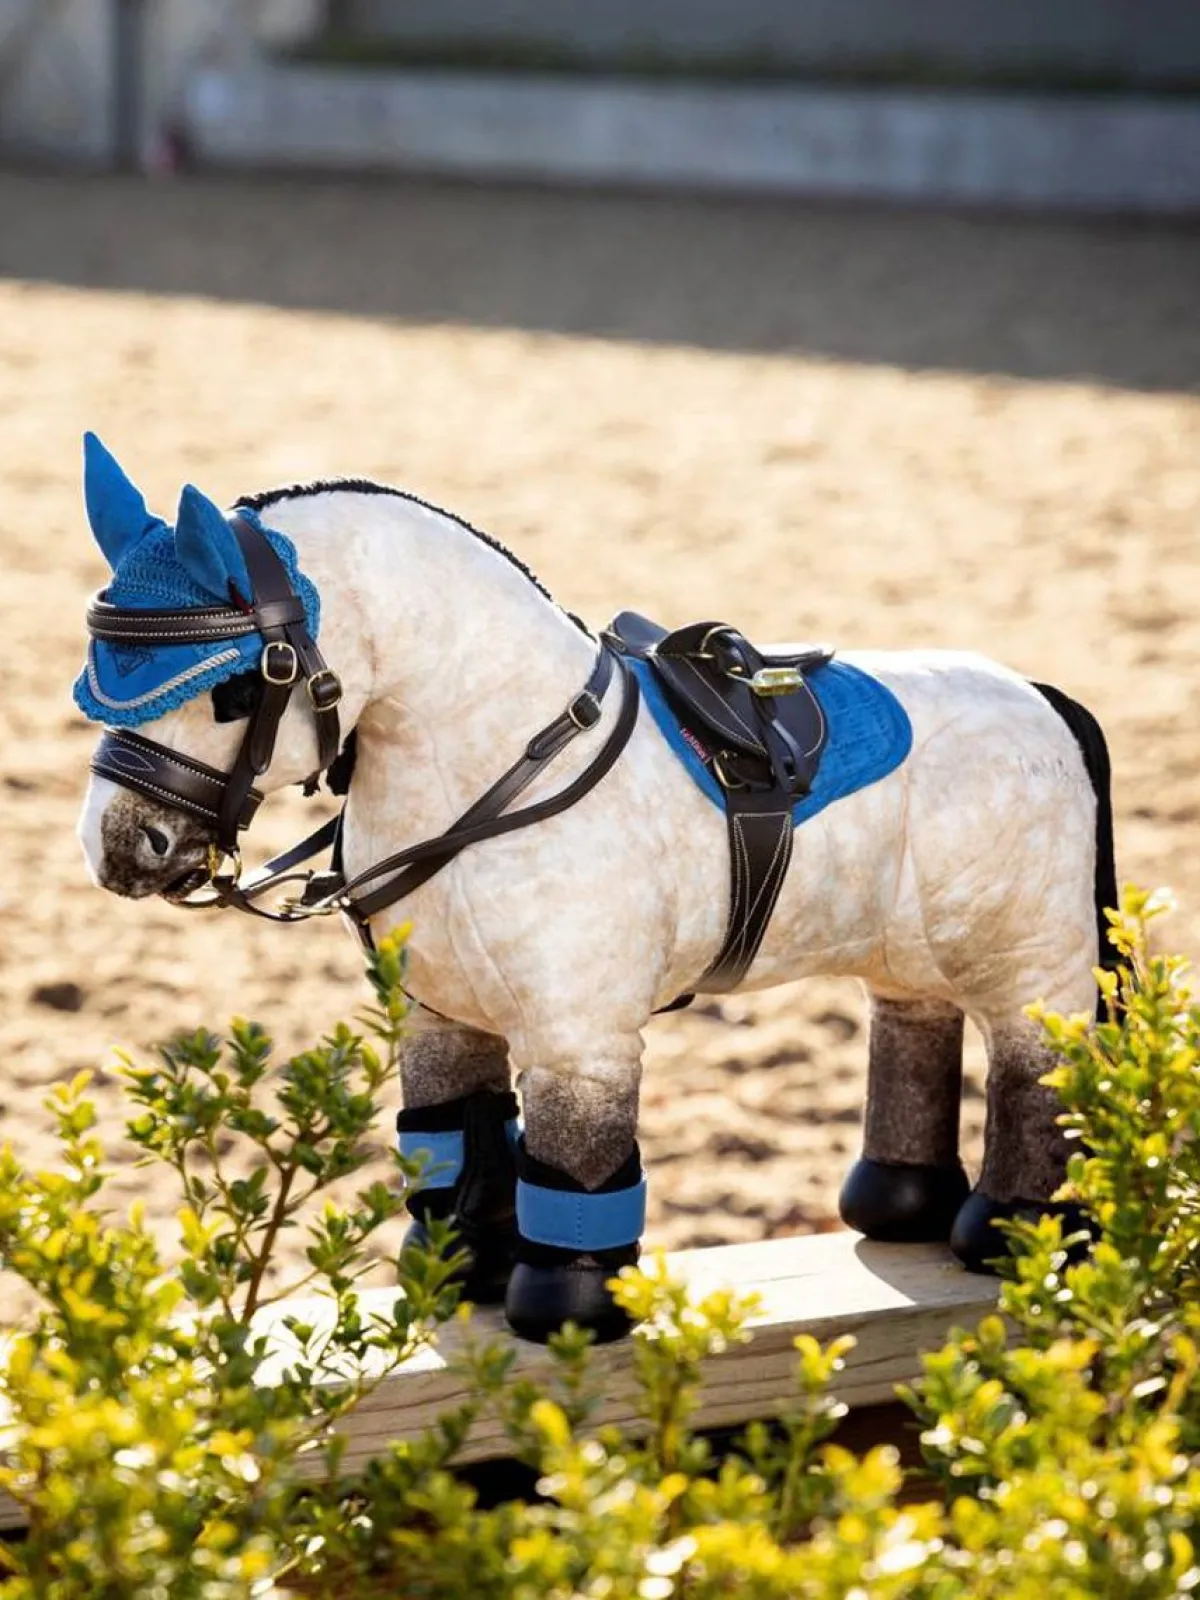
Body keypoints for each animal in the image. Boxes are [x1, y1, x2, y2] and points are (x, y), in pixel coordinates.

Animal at [74, 434, 1115, 1343]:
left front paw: (565, 1312)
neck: (499, 761)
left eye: (238, 688)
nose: (120, 849)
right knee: (914, 1024)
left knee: (1034, 1069)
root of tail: (1038, 694)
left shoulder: (580, 1040)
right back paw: (899, 1206)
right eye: (96, 679)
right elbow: (458, 1140)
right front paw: (460, 1273)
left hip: (1033, 965)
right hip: (912, 951)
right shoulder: (441, 1017)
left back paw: (1017, 1231)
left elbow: (575, 1168)